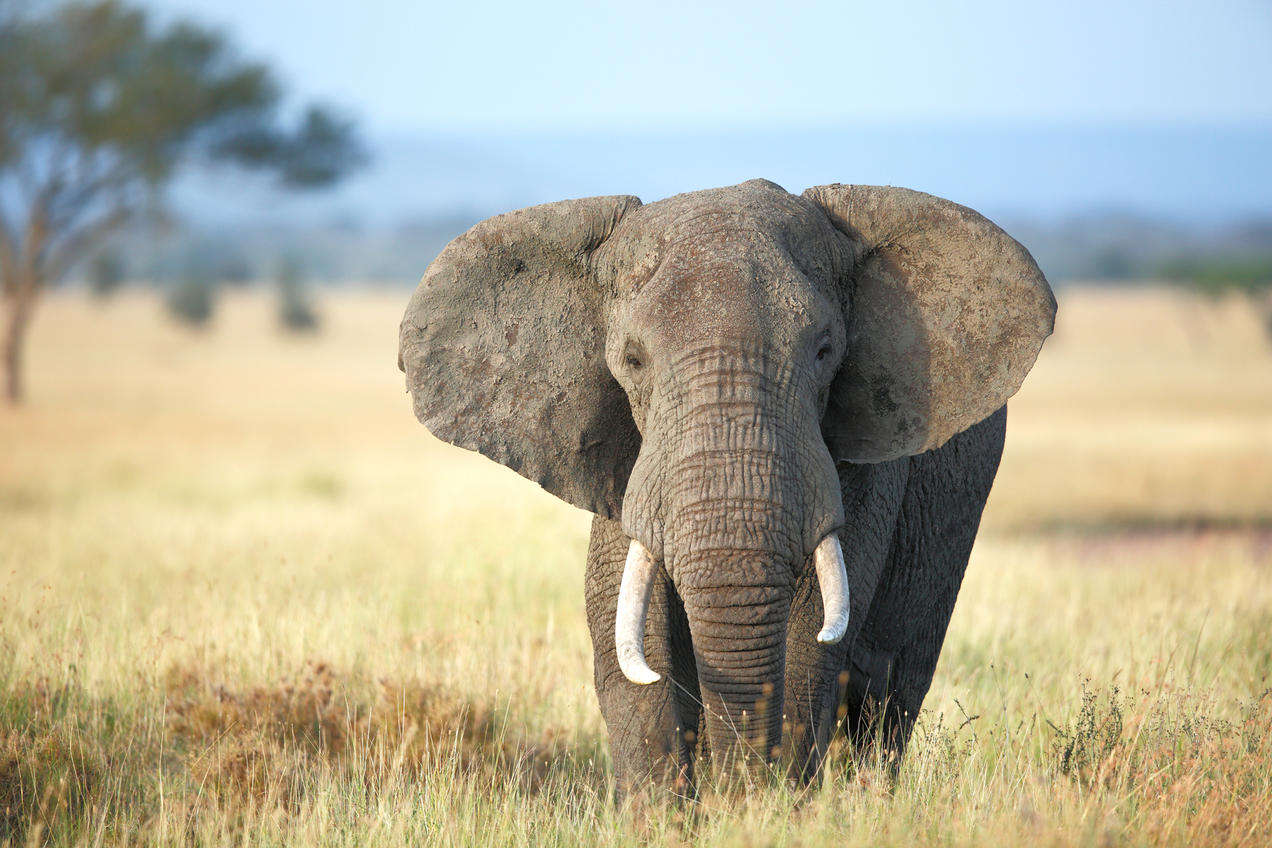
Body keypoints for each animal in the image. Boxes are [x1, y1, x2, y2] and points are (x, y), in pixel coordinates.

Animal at [398, 179, 1055, 797]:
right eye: (632, 360)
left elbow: (813, 637)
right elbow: (628, 638)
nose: (739, 797)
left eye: (824, 350)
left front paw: (767, 811)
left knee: (889, 695)